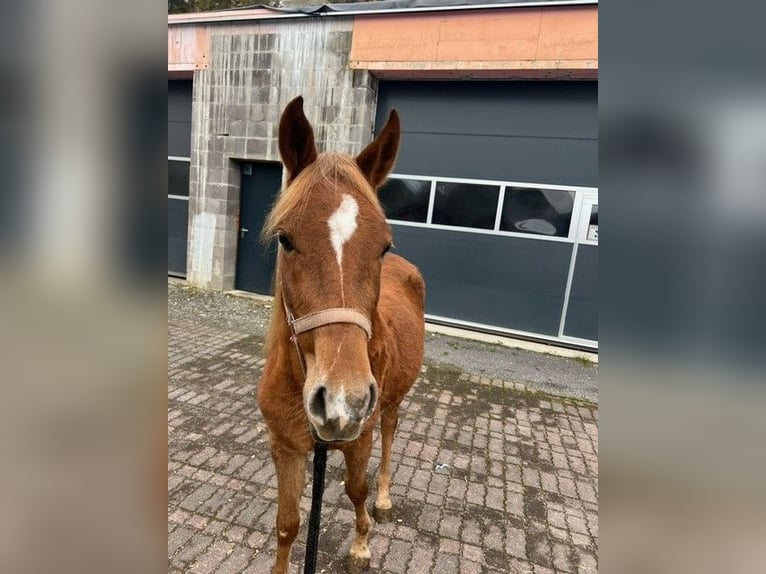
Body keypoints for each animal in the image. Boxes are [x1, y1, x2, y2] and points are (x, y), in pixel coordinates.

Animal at [258, 97, 426, 572]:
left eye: (384, 245)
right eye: (285, 239)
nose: (342, 400)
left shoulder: (360, 436)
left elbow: (356, 490)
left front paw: (361, 545)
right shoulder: (286, 447)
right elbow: (287, 524)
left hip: (390, 403)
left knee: (389, 434)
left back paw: (384, 500)